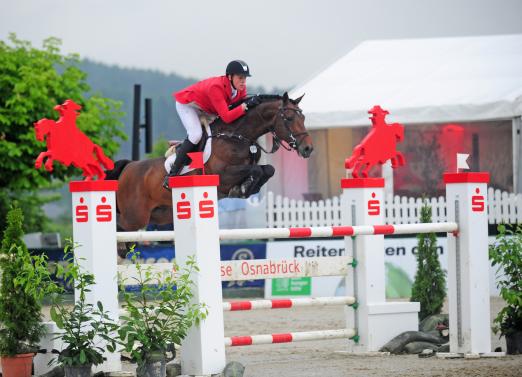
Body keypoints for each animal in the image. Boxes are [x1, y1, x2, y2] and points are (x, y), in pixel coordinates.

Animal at [103, 92, 310, 231]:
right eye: (289, 118)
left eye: (303, 117)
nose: (308, 148)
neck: (237, 137)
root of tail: (128, 166)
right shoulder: (223, 175)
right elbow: (257, 170)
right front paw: (242, 188)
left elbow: (268, 169)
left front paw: (247, 188)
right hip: (135, 217)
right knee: (119, 225)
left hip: (160, 214)